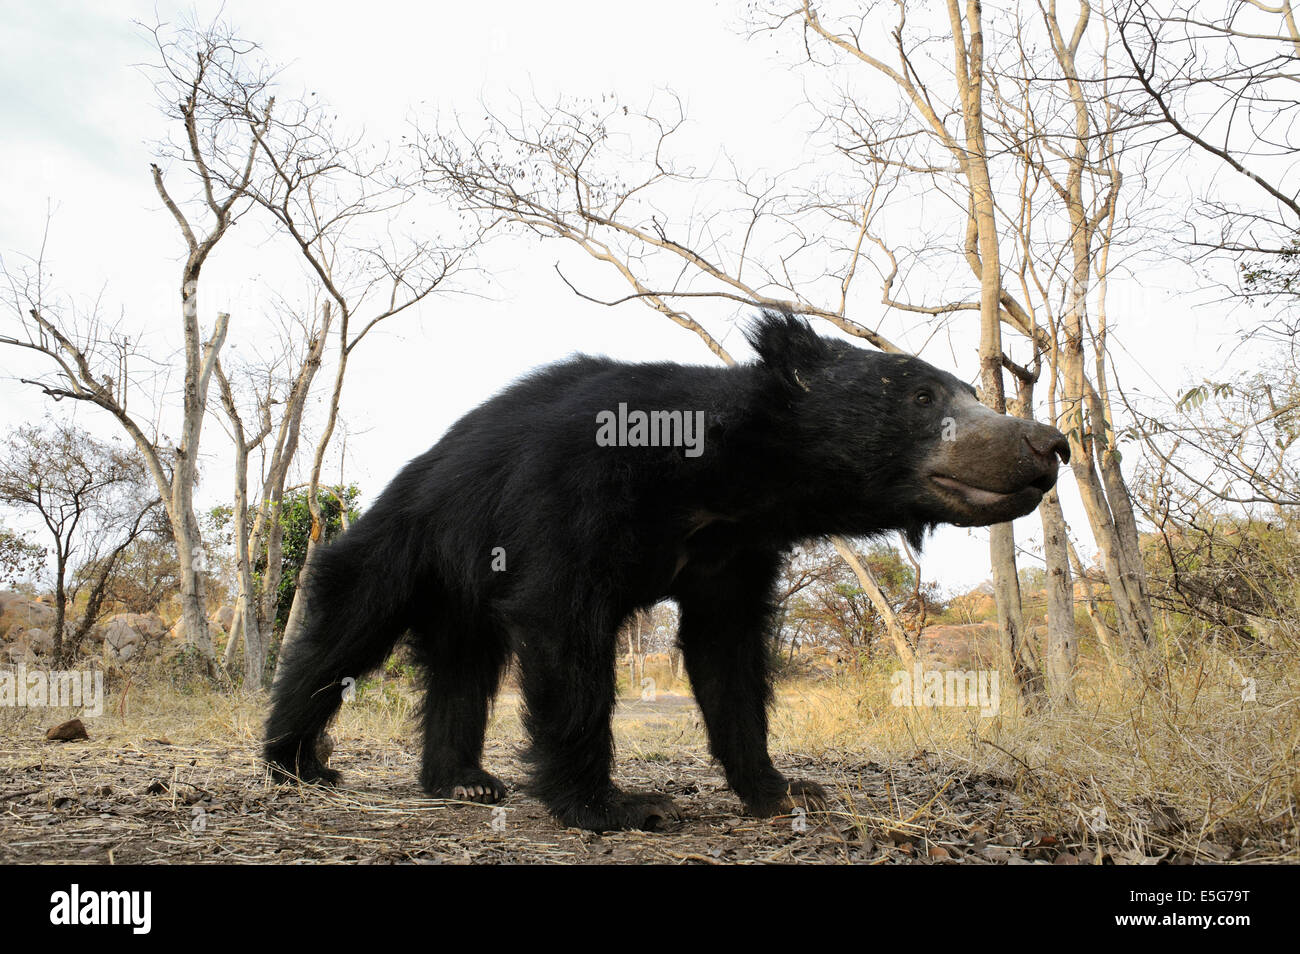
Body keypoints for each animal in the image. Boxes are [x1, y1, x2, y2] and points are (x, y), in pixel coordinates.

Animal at [264, 311, 1068, 831]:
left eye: (971, 392)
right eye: (923, 397)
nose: (1049, 445)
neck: (724, 486)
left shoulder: (737, 554)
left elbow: (728, 656)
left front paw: (785, 790)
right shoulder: (575, 492)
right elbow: (565, 630)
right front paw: (618, 807)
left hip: (462, 594)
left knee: (465, 666)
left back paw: (463, 783)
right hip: (402, 548)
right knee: (338, 641)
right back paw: (298, 763)